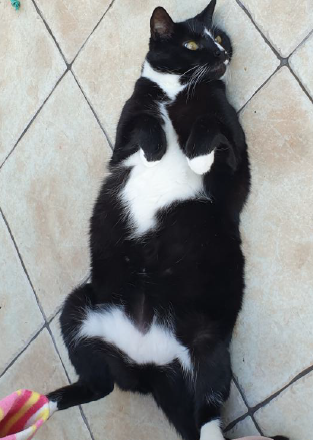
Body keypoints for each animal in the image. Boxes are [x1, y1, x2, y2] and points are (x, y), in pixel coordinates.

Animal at [47, 1, 260, 438]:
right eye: (194, 43)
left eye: (220, 37)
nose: (222, 53)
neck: (179, 91)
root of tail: (148, 366)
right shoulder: (127, 127)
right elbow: (144, 123)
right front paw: (159, 148)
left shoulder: (233, 158)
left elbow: (213, 133)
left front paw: (195, 155)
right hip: (77, 307)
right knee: (98, 385)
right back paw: (50, 400)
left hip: (207, 340)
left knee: (206, 413)